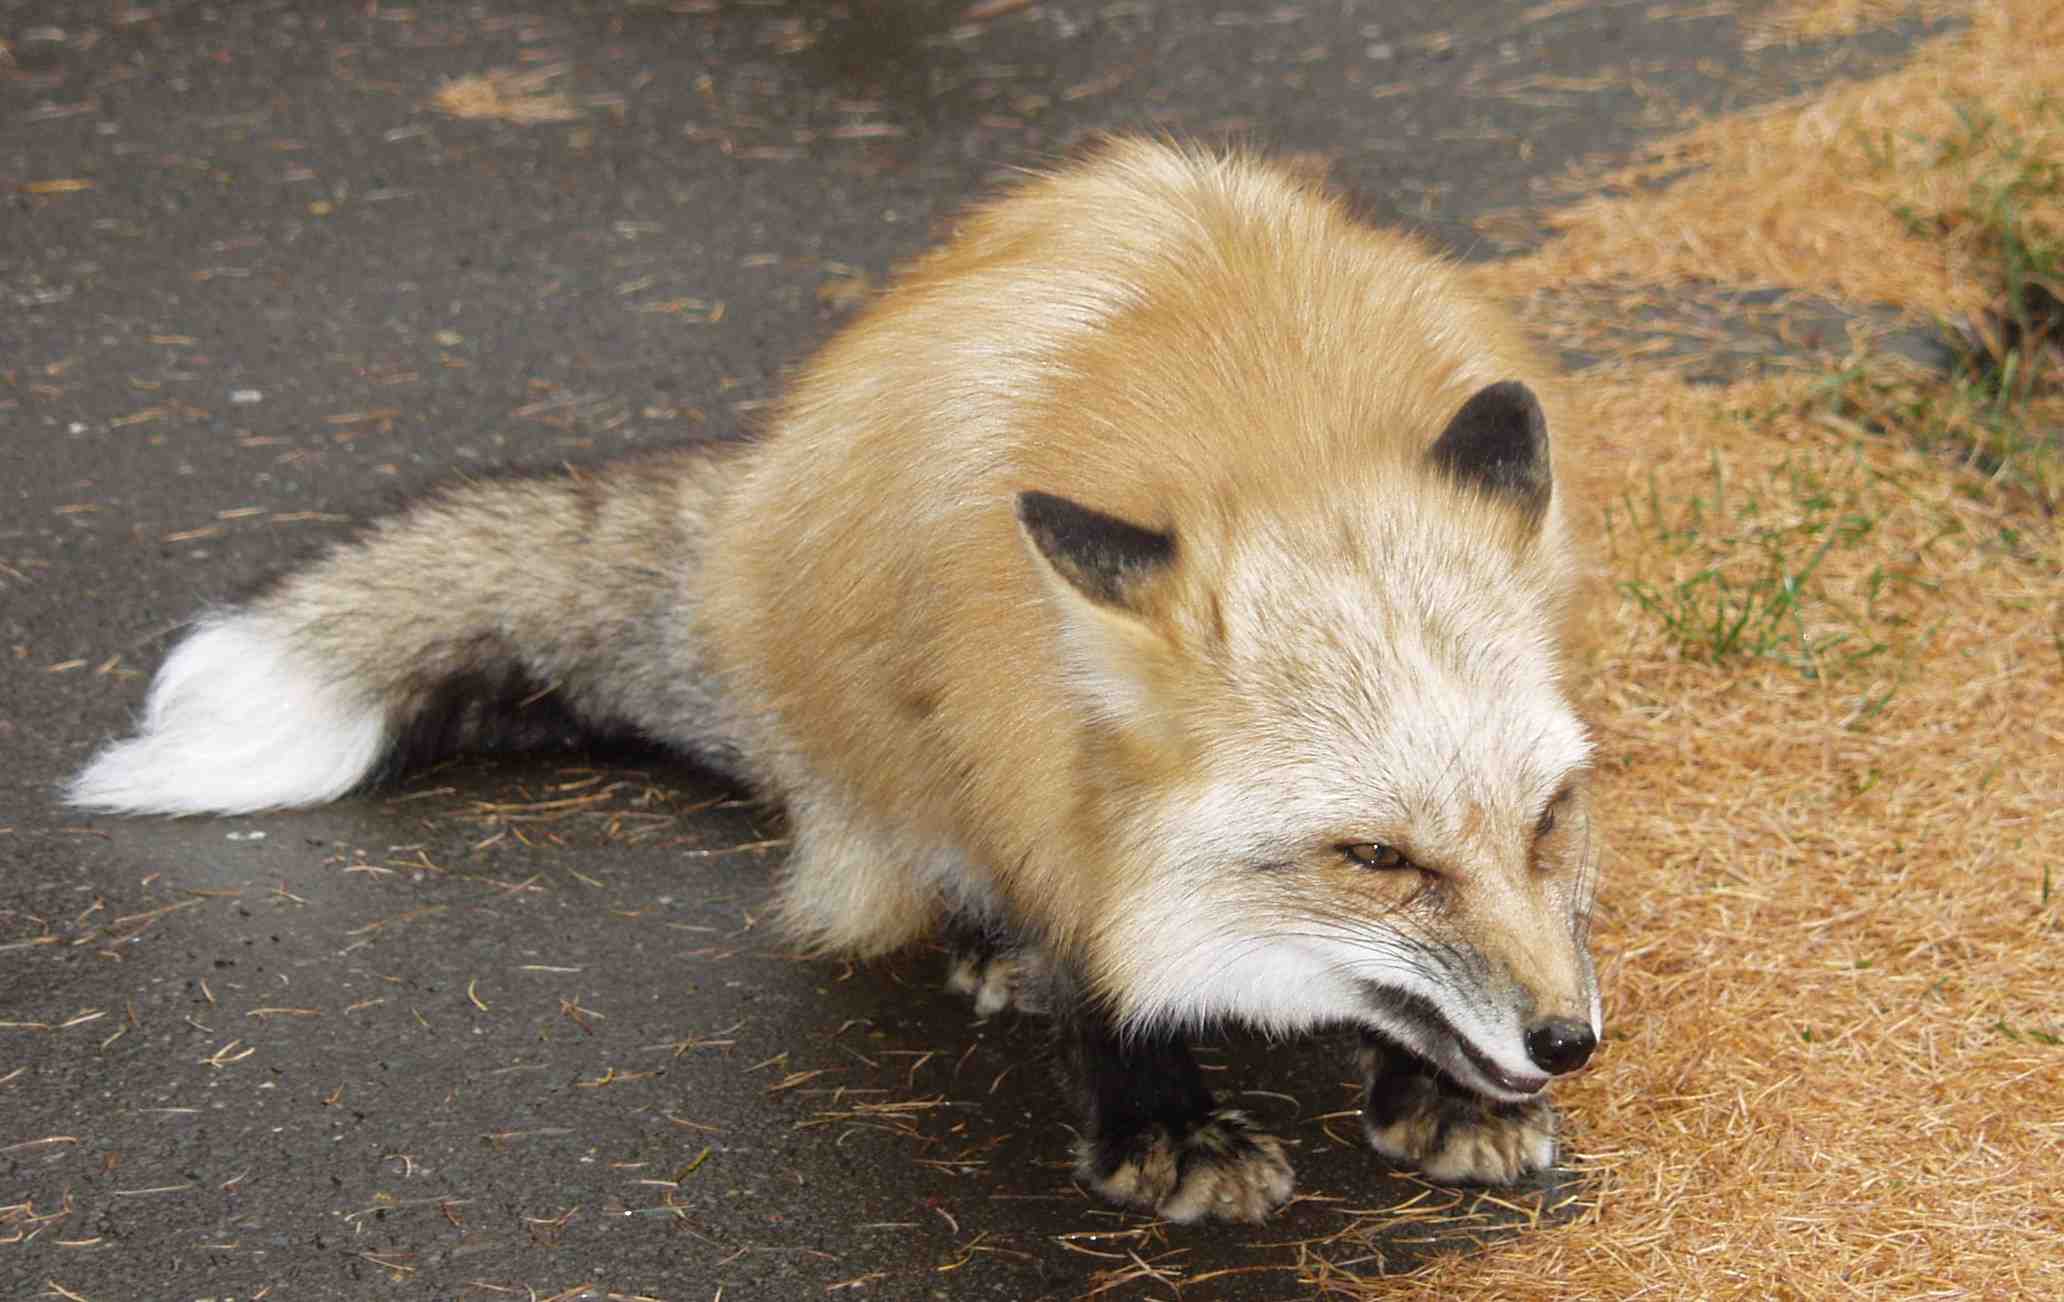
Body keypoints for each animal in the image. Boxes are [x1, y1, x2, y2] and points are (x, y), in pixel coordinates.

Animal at [67, 139, 1602, 1223]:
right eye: (1373, 856)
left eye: (1545, 822)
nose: (1569, 1038)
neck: (1259, 430)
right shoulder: (1009, 741)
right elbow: (1094, 926)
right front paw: (1158, 1121)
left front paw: (1437, 1089)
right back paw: (1000, 947)